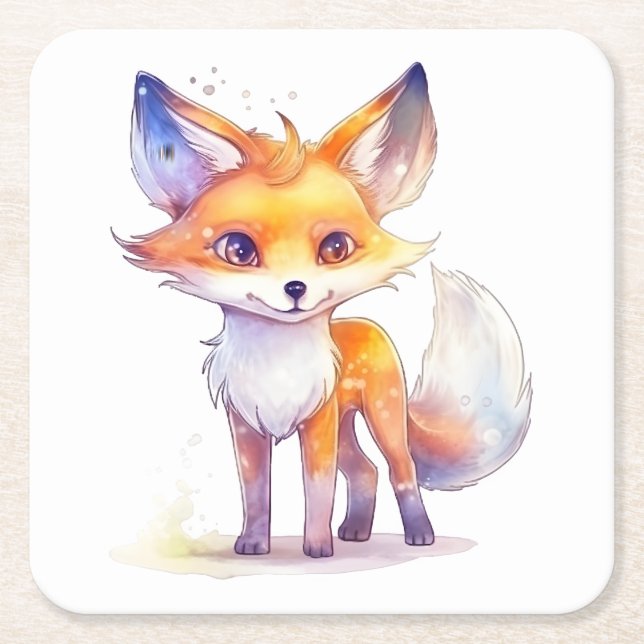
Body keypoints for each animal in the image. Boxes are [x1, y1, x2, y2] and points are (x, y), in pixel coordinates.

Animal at [115, 62, 532, 558]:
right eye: (238, 250)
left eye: (335, 248)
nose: (296, 288)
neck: (276, 363)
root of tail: (369, 325)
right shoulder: (248, 426)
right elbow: (255, 494)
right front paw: (253, 543)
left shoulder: (317, 422)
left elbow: (317, 493)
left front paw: (316, 548)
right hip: (346, 426)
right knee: (365, 470)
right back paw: (355, 531)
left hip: (381, 418)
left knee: (400, 469)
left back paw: (417, 534)